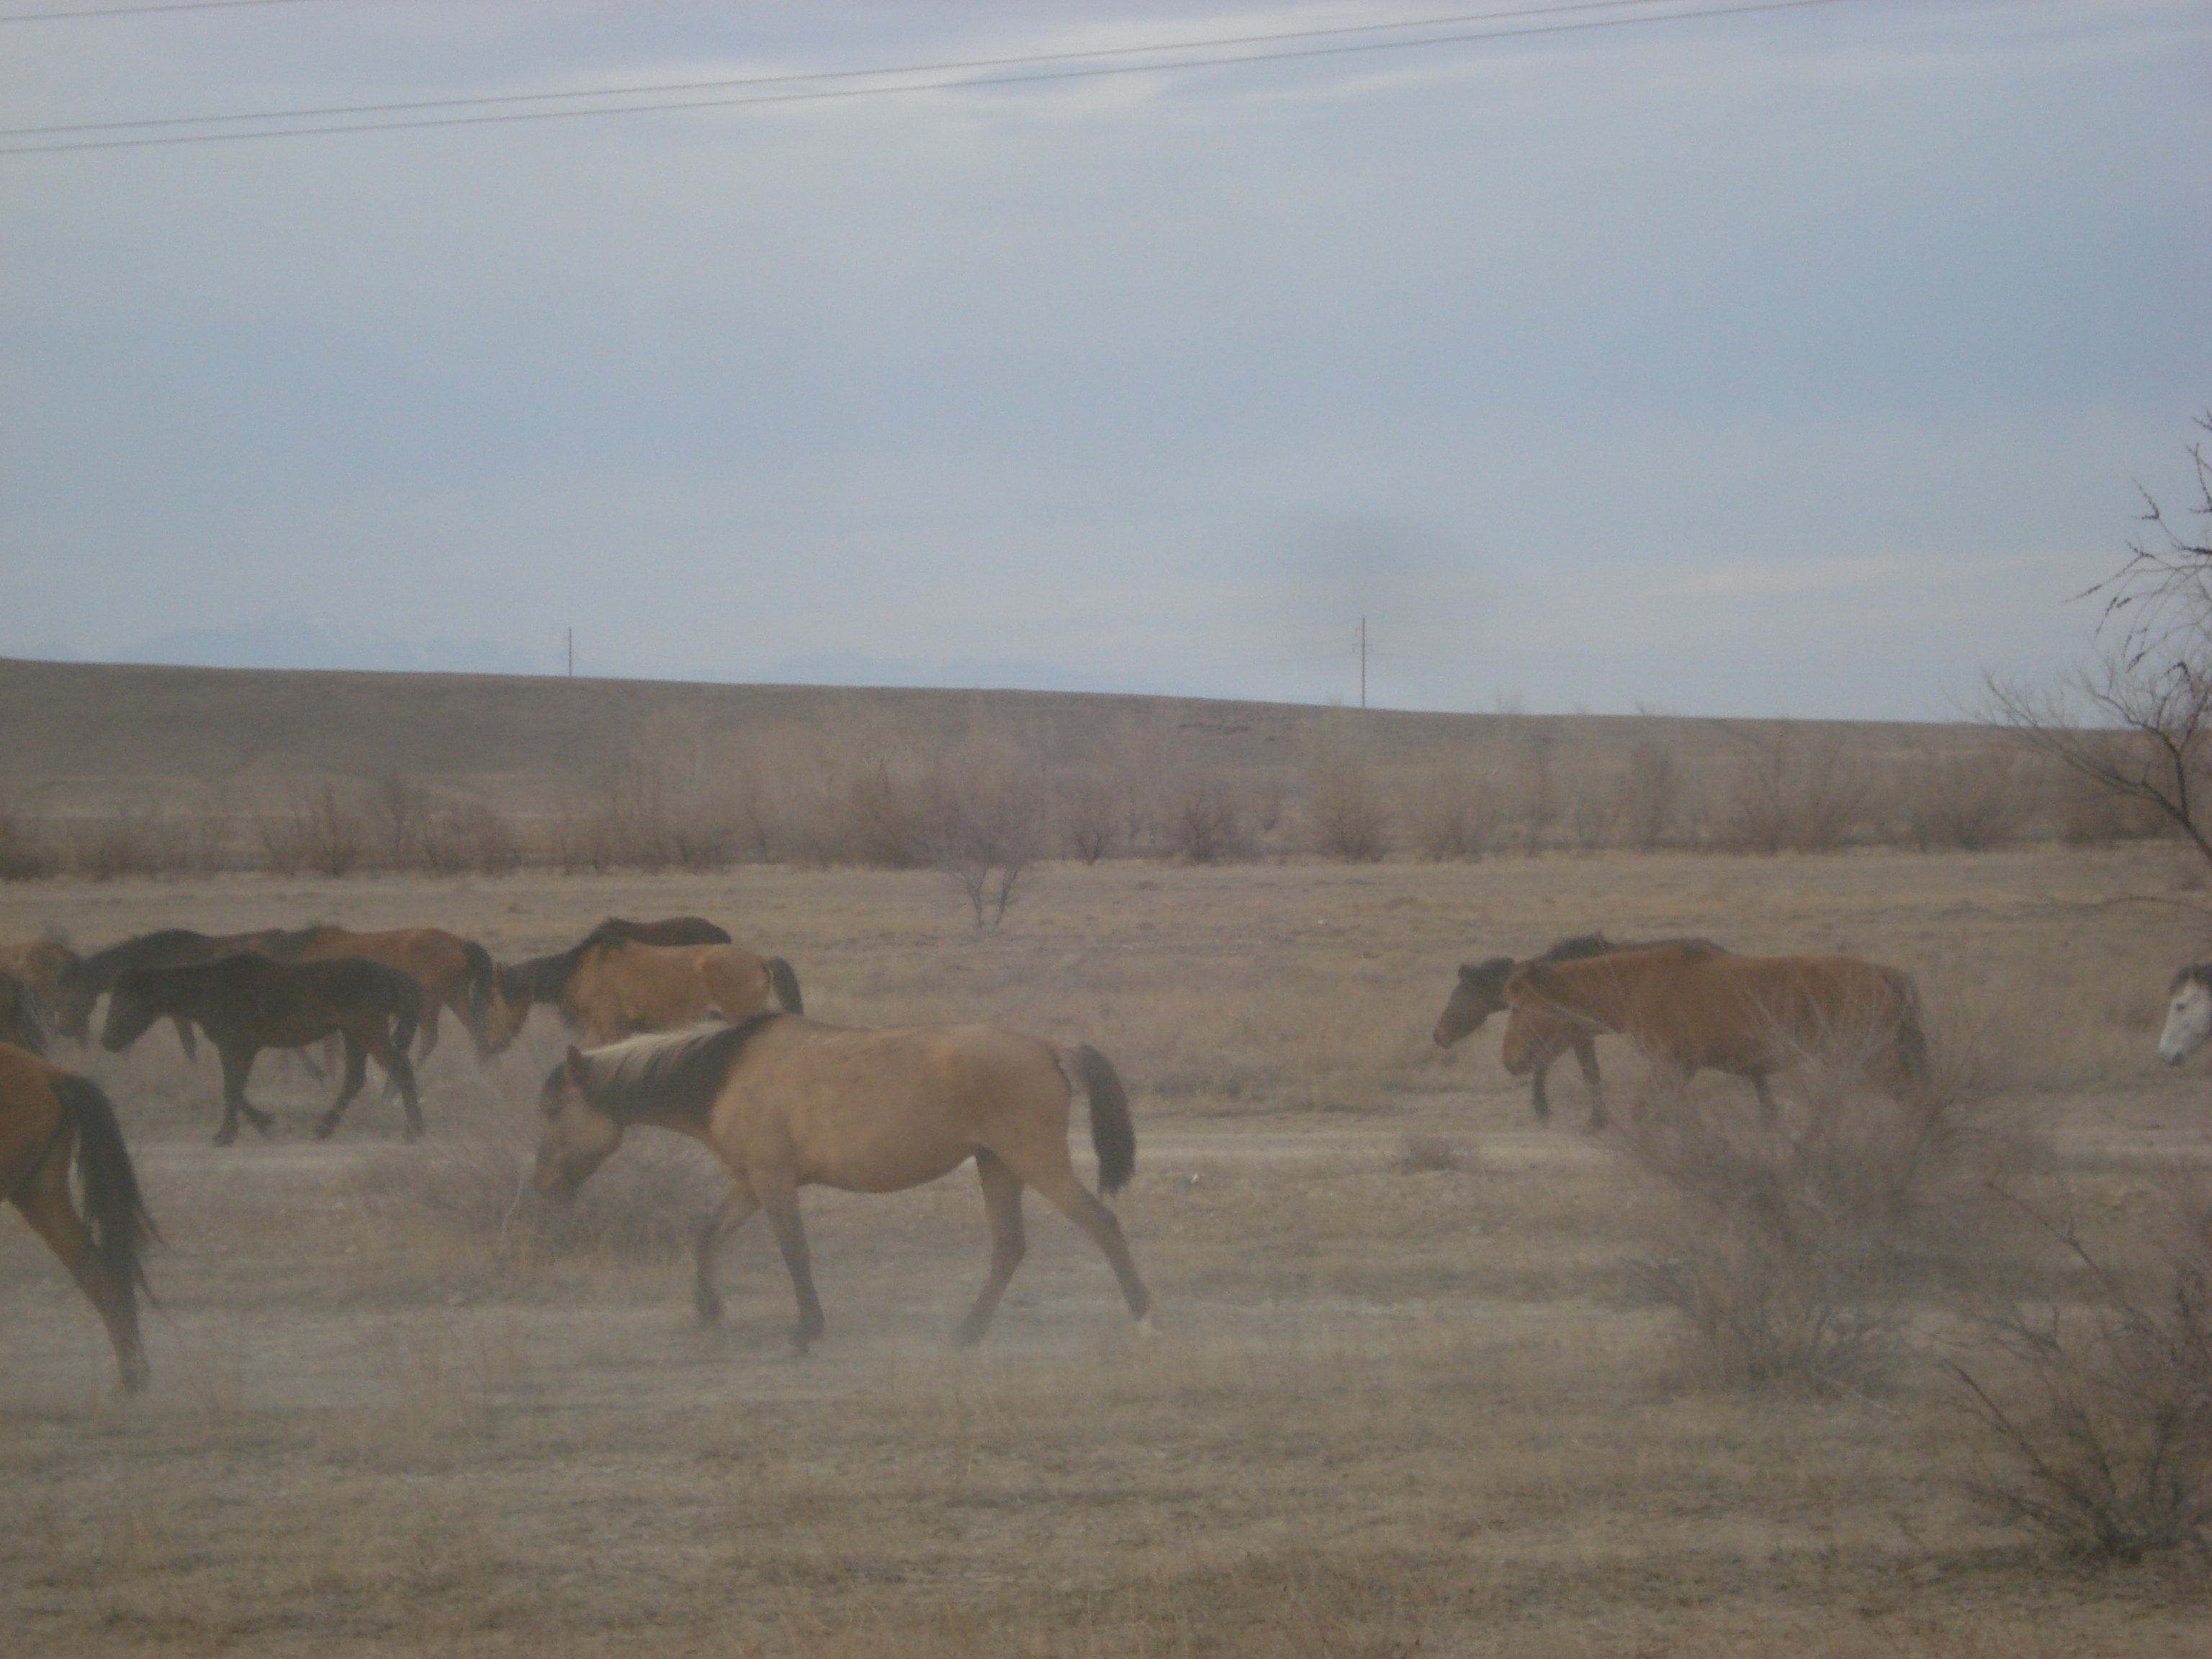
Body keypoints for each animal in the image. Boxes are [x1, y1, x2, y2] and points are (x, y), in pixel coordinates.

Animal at [100, 956, 426, 1150]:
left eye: (126, 1000)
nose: (107, 1041)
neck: (210, 989)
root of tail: (389, 974)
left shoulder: (234, 1046)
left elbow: (231, 1090)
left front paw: (250, 1127)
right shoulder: (243, 1049)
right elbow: (234, 1089)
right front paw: (235, 1130)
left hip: (367, 1031)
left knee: (400, 1068)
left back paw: (413, 1131)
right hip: (353, 1035)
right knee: (355, 1079)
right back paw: (324, 1129)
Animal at [537, 1022, 1159, 1354]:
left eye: (554, 1111)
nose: (543, 1184)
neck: (727, 1075)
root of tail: (1049, 1048)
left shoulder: (773, 1180)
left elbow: (794, 1253)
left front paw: (805, 1330)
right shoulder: (750, 1183)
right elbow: (708, 1234)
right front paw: (709, 1308)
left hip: (1034, 1161)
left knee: (1102, 1224)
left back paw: (1143, 1313)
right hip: (997, 1166)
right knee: (1009, 1248)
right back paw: (967, 1332)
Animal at [1495, 942, 1928, 1123]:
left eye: (1517, 1007)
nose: (1509, 1061)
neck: (1640, 983)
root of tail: (1883, 973)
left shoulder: (1667, 1066)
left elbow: (1643, 1112)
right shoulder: (1681, 1070)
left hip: (1874, 1060)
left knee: (1915, 1100)